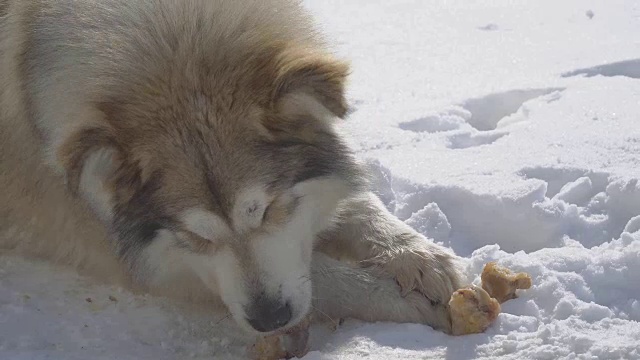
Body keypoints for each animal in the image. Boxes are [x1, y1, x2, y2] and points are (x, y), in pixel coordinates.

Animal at [0, 0, 462, 338]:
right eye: (195, 238)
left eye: (269, 210)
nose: (270, 320)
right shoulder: (154, 265)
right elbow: (326, 277)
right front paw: (398, 297)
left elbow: (354, 201)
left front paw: (414, 254)